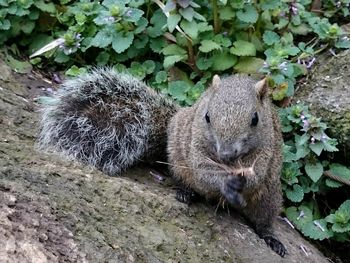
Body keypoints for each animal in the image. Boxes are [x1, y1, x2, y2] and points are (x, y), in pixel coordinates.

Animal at [37, 67, 286, 258]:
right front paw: (225, 183)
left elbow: (257, 173)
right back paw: (186, 193)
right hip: (177, 157)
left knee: (263, 220)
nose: (225, 154)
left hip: (269, 197)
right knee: (186, 179)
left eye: (255, 119)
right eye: (207, 116)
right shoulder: (195, 142)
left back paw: (271, 238)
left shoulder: (267, 149)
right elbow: (202, 169)